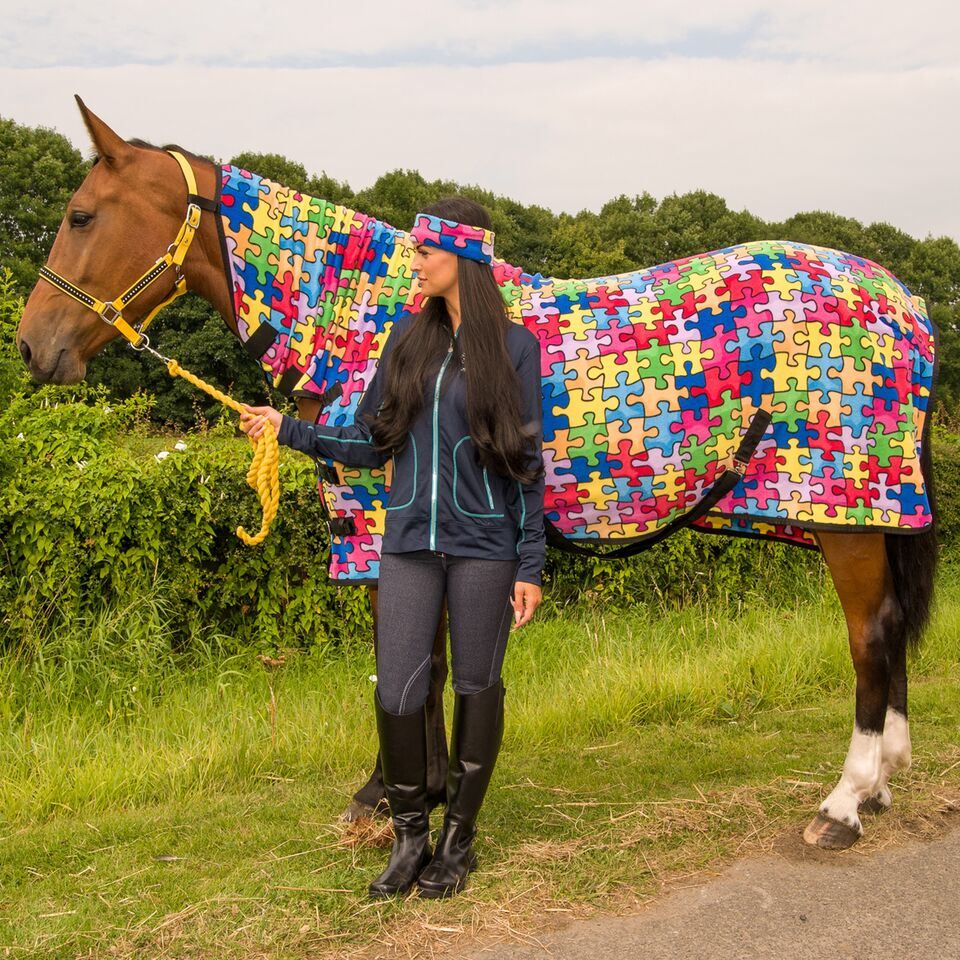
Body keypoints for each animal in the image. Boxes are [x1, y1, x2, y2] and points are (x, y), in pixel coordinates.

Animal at [16, 97, 936, 852]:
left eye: (81, 214)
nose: (32, 345)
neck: (369, 316)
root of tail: (901, 298)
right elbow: (426, 664)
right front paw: (411, 793)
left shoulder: (385, 538)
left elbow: (409, 669)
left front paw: (393, 798)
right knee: (889, 634)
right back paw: (883, 781)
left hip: (847, 518)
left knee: (871, 635)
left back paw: (844, 802)